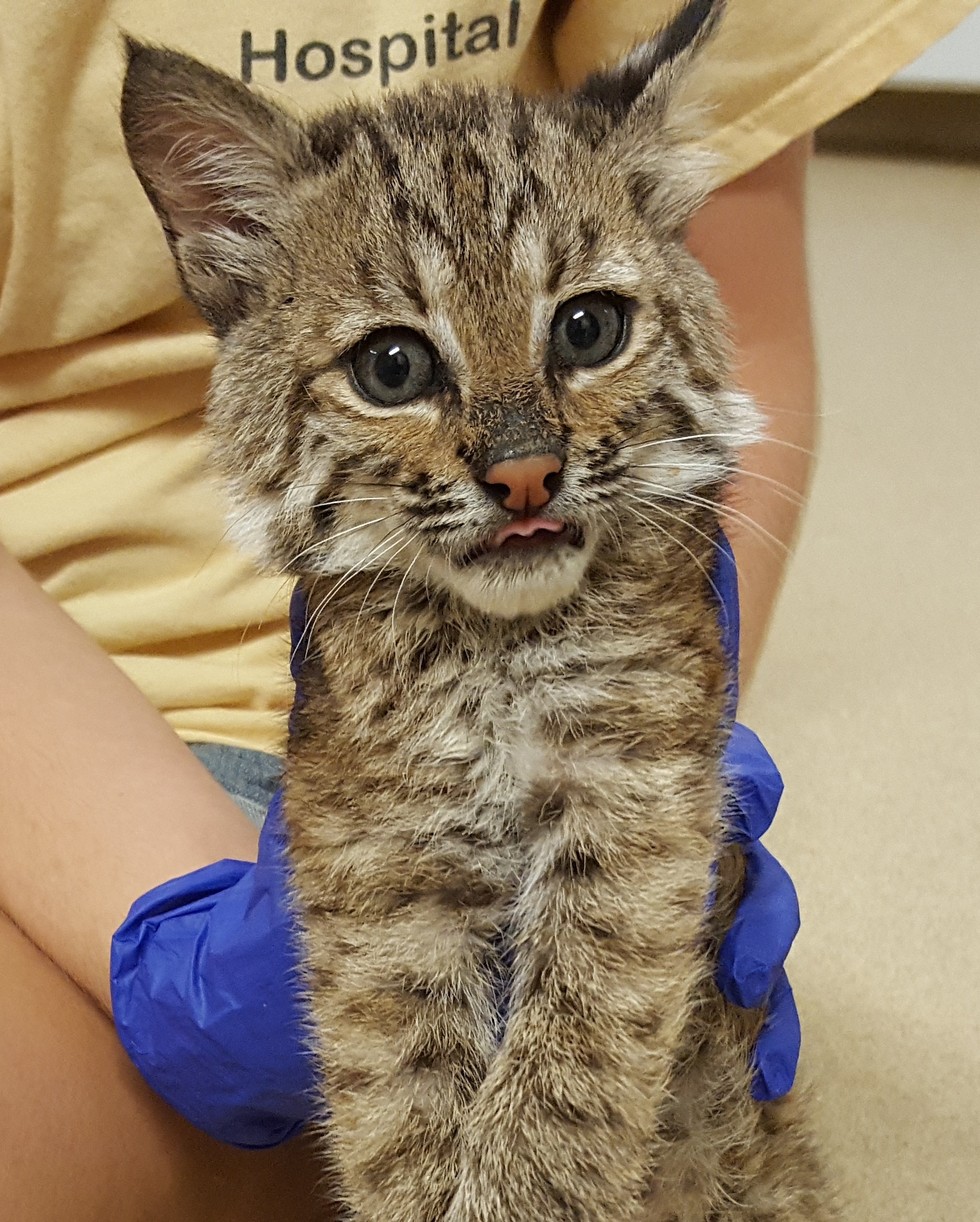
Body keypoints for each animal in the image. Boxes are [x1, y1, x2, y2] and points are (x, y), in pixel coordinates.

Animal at [120, 4, 830, 1217]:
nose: (526, 475)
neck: (493, 646)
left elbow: (573, 1053)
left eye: (587, 330)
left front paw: (525, 1184)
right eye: (392, 366)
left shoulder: (641, 796)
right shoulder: (373, 849)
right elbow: (396, 1090)